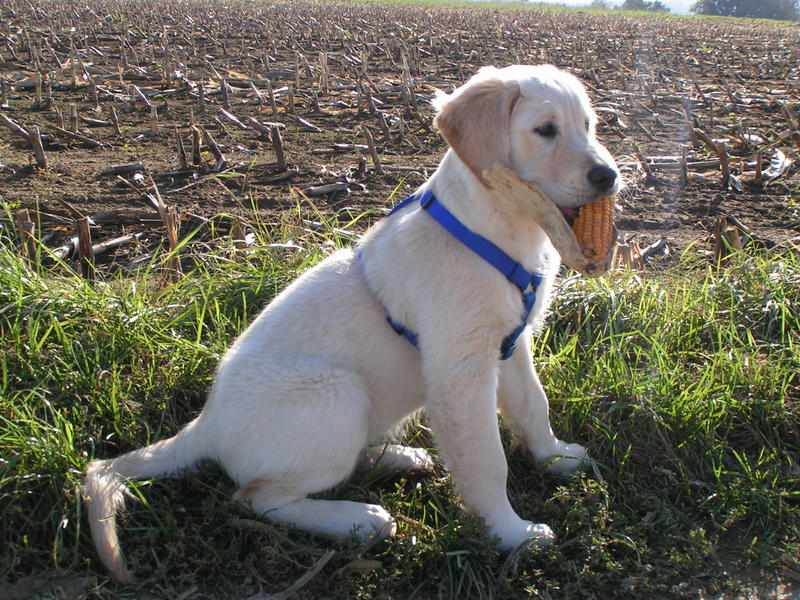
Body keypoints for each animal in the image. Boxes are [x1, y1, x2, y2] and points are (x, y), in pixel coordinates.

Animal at [86, 64, 620, 580]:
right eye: (545, 130)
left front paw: (554, 456)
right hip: (338, 393)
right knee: (257, 497)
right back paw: (357, 520)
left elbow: (534, 406)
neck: (494, 229)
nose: (610, 176)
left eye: (587, 125)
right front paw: (510, 534)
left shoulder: (512, 344)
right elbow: (487, 461)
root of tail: (206, 423)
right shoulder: (461, 370)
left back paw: (399, 458)